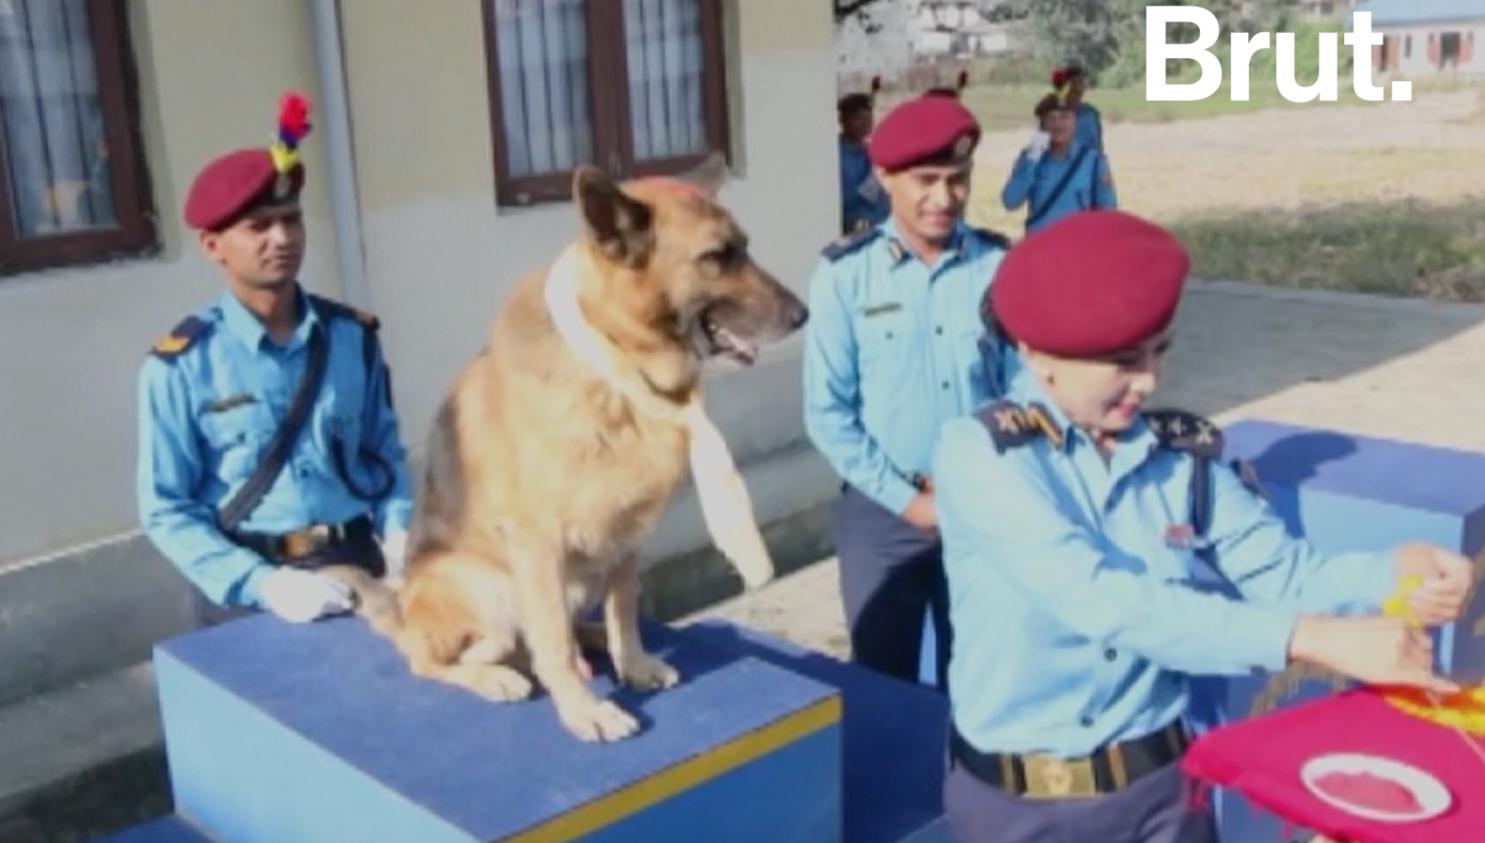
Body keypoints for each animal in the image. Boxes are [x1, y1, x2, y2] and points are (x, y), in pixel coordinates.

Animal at [335, 156, 807, 736]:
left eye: (745, 246)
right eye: (717, 256)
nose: (803, 314)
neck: (614, 368)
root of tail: (405, 613)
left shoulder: (627, 537)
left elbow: (623, 610)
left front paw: (632, 664)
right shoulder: (537, 542)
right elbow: (553, 642)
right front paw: (583, 709)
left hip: (578, 576)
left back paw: (589, 642)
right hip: (490, 590)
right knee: (442, 656)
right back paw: (494, 672)